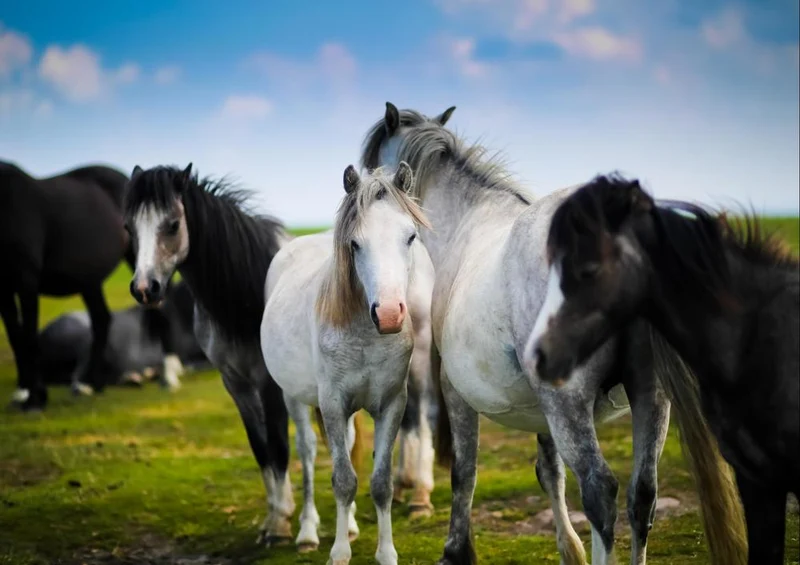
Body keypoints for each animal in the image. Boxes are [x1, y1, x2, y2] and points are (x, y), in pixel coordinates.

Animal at [0, 160, 178, 411]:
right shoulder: (3, 287)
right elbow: (16, 336)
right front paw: (23, 392)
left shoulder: (27, 279)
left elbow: (28, 335)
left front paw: (35, 398)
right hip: (89, 280)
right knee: (101, 319)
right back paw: (91, 384)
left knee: (159, 310)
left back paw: (168, 378)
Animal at [260, 163, 435, 565]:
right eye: (355, 244)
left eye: (410, 237)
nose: (389, 314)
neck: (365, 336)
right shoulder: (333, 405)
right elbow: (343, 480)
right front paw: (339, 553)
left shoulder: (392, 404)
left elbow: (380, 482)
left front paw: (386, 553)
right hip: (294, 397)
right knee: (308, 452)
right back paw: (308, 532)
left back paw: (351, 525)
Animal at [360, 103, 747, 565]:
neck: (469, 220)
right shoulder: (538, 405)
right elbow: (550, 472)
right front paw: (569, 549)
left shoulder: (457, 392)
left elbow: (464, 472)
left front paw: (457, 550)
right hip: (649, 397)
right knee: (642, 495)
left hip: (570, 402)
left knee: (600, 491)